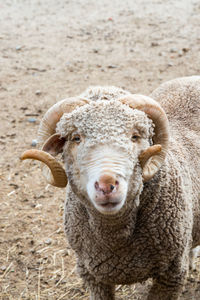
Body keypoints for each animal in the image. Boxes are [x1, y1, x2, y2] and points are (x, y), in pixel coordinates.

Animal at [21, 77, 200, 300]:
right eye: (76, 138)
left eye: (135, 136)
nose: (107, 185)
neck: (115, 238)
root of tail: (192, 79)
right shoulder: (92, 276)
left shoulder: (171, 275)